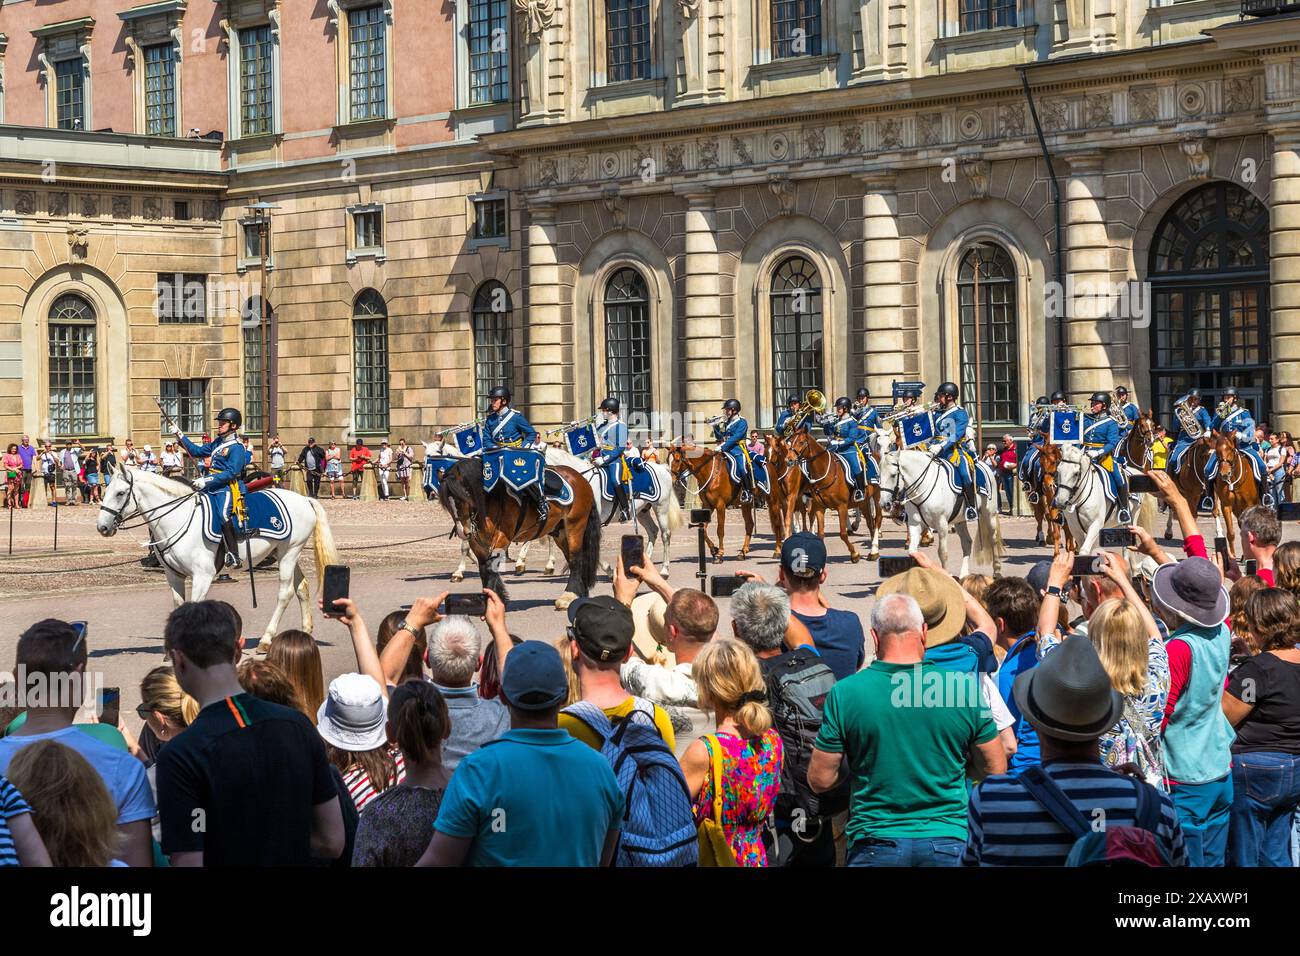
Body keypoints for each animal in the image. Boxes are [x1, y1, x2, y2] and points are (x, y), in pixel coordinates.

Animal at [97, 468, 340, 647]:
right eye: (106, 490)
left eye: (120, 493)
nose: (102, 527)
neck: (178, 517)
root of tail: (304, 499)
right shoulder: (173, 575)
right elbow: (178, 606)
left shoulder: (203, 575)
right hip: (283, 553)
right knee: (301, 588)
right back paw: (305, 632)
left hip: (289, 553)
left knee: (285, 593)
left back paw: (266, 639)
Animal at [873, 431, 1003, 580]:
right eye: (879, 475)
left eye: (893, 475)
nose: (884, 504)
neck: (922, 485)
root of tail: (983, 464)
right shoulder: (915, 524)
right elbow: (912, 551)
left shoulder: (942, 524)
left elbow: (943, 553)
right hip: (960, 520)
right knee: (967, 542)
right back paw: (964, 574)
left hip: (989, 514)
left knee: (993, 539)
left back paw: (997, 571)